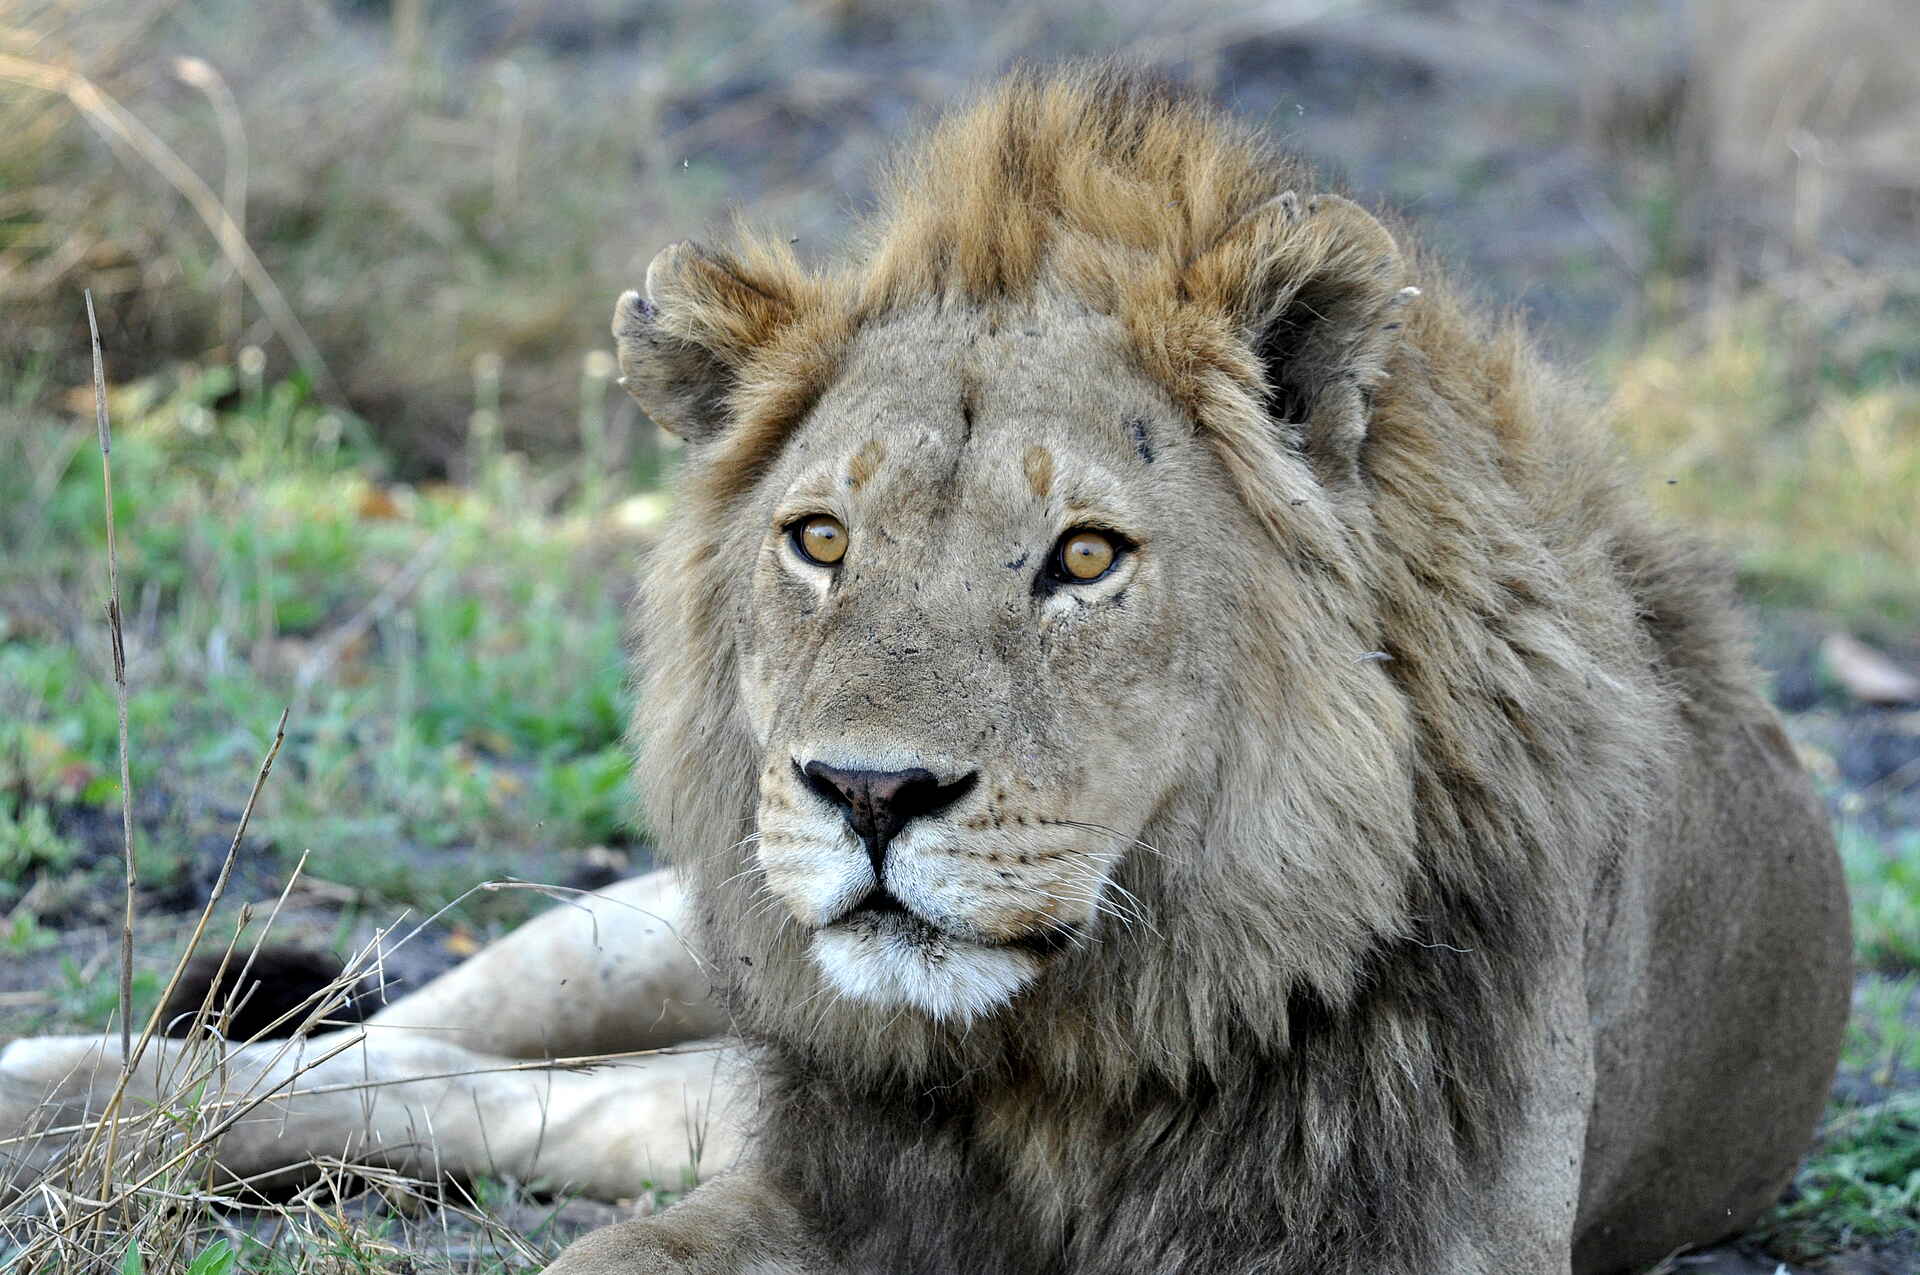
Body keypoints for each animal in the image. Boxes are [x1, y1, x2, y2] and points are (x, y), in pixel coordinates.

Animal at [0, 66, 1849, 1275]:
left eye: (1085, 558)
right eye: (821, 539)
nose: (869, 792)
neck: (1077, 1056)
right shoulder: (803, 1188)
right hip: (667, 928)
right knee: (381, 1048)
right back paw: (64, 1098)